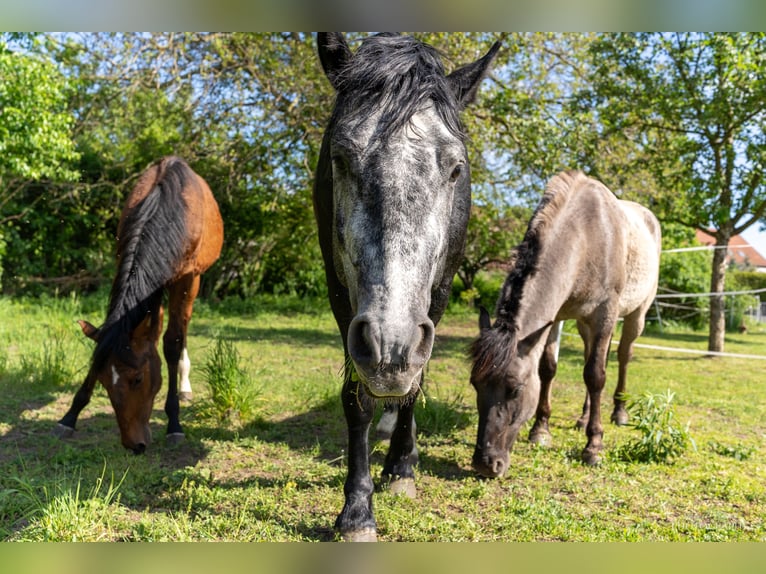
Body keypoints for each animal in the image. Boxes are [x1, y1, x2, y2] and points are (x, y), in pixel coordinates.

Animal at [55, 156, 224, 454]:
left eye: (137, 379)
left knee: (183, 327)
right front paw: (70, 416)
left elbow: (172, 343)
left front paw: (174, 423)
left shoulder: (187, 278)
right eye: (101, 380)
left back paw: (185, 385)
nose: (134, 445)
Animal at [314, 32, 500, 544]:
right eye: (339, 157)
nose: (391, 345)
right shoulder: (342, 297)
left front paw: (401, 470)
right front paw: (357, 511)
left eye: (456, 168)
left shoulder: (436, 298)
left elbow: (415, 387)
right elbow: (357, 400)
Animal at [472, 170, 664, 476]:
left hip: (636, 315)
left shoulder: (605, 314)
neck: (586, 235)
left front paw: (594, 447)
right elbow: (549, 369)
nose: (486, 463)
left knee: (622, 356)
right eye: (475, 385)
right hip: (585, 326)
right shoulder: (556, 317)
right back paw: (583, 418)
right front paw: (541, 430)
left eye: (516, 390)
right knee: (590, 356)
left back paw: (619, 412)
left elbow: (596, 375)